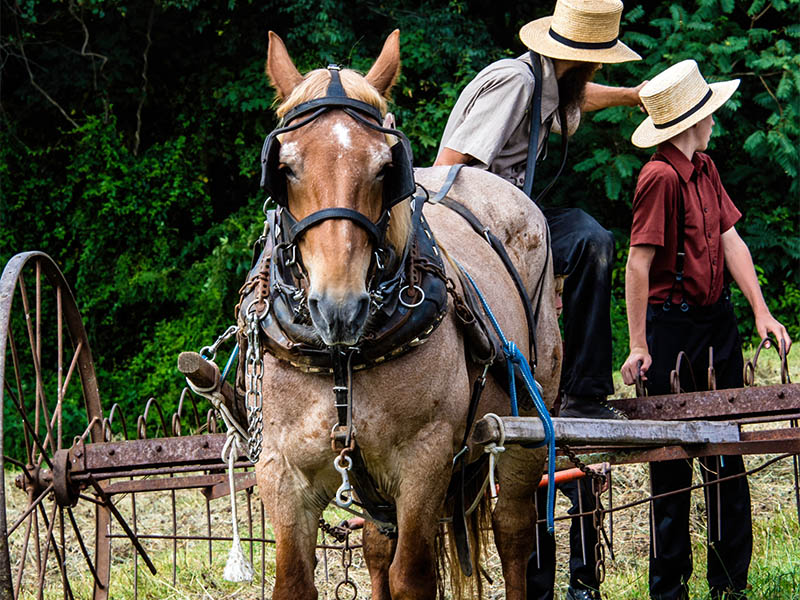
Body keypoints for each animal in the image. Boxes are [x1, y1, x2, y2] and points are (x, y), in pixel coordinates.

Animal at [245, 30, 564, 596]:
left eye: (384, 168)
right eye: (284, 168)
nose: (339, 308)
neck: (342, 360)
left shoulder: (425, 460)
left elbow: (412, 574)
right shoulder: (281, 471)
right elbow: (296, 581)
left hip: (526, 425)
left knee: (513, 532)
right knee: (376, 548)